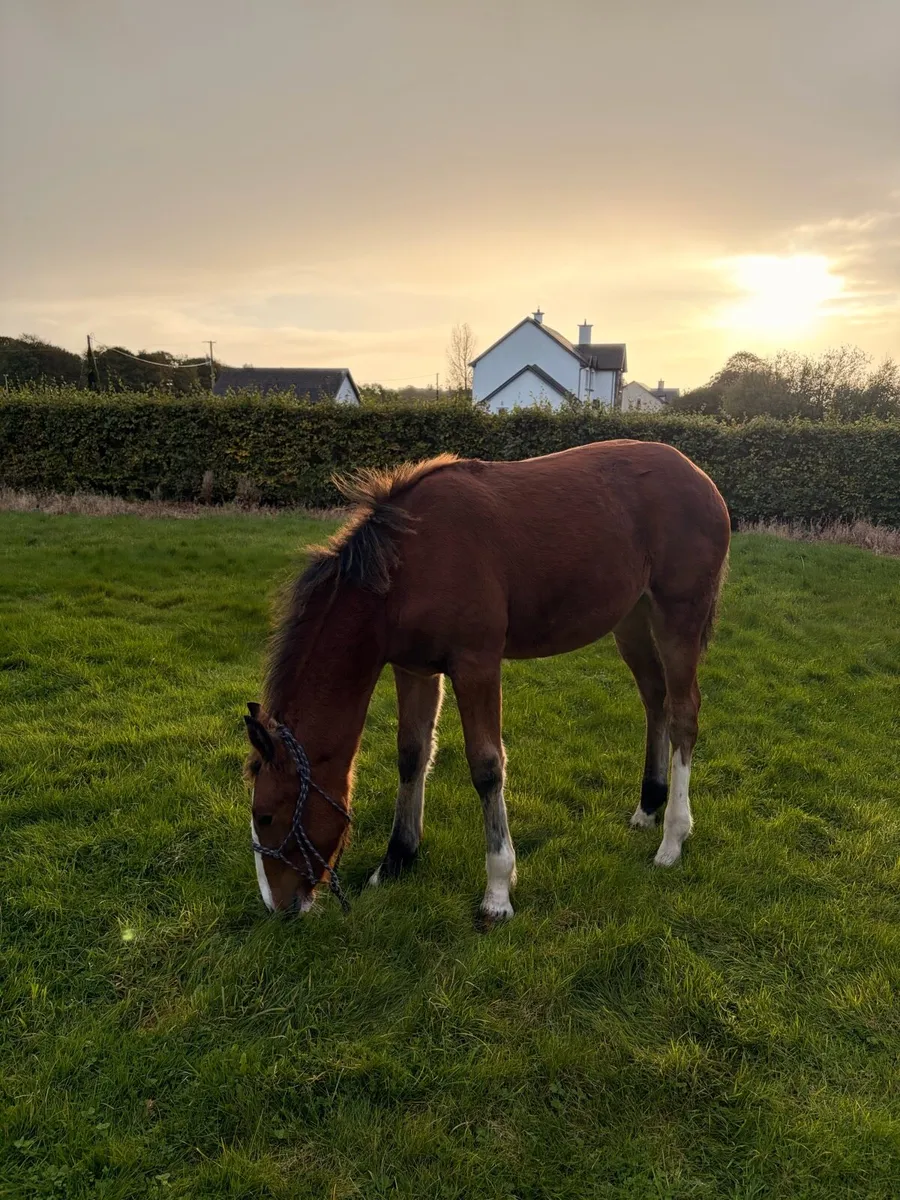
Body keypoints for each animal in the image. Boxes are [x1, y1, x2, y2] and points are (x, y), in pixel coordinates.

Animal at [244, 440, 731, 919]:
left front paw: (498, 890)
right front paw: (397, 859)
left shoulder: (476, 664)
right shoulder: (414, 669)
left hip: (678, 616)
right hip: (632, 620)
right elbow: (412, 754)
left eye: (266, 815)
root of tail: (701, 478)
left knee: (684, 713)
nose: (278, 907)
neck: (407, 567)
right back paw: (648, 806)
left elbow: (486, 766)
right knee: (655, 700)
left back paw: (673, 838)